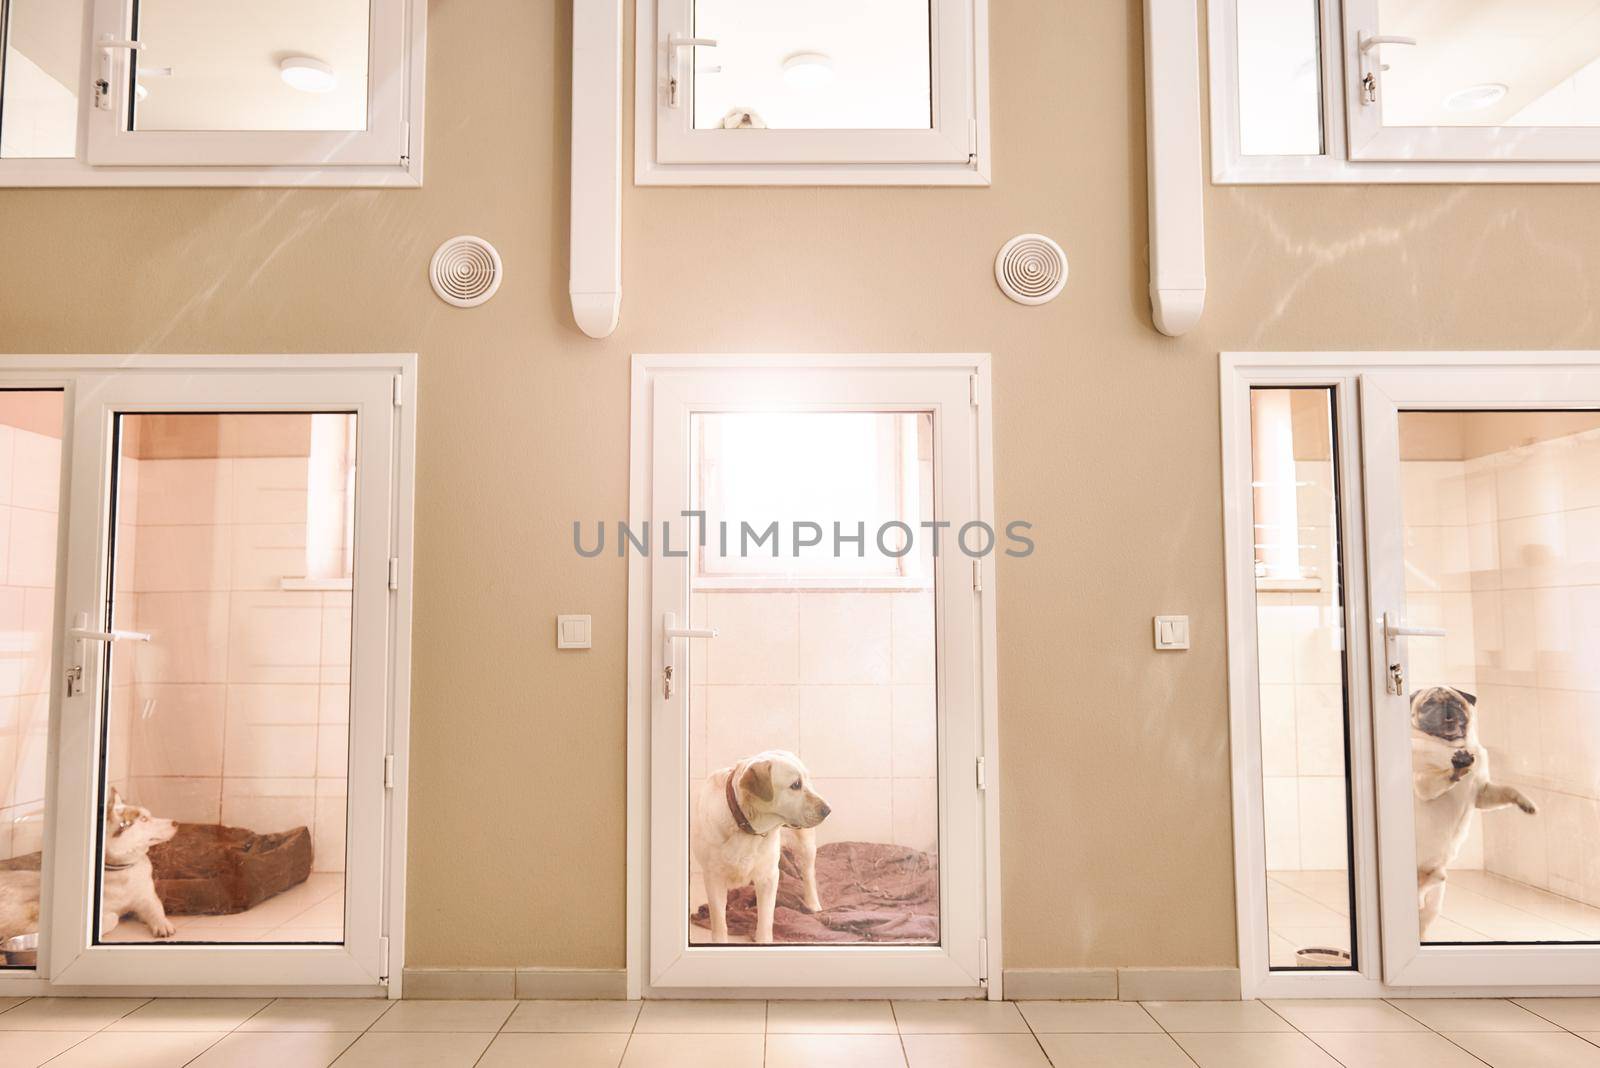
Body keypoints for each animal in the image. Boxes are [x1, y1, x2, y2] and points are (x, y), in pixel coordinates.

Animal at [691, 751, 832, 940]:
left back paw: (813, 904)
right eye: (796, 784)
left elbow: (765, 922)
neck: (745, 825)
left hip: (806, 845)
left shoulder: (767, 877)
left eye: (805, 780)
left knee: (808, 875)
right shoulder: (713, 877)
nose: (828, 810)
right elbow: (719, 923)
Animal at [1414, 687, 1536, 940]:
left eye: (1456, 703)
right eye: (1428, 704)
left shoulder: (1482, 792)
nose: (1447, 712)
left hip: (1434, 902)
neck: (1449, 746)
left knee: (1427, 907)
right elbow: (1442, 776)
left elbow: (1508, 790)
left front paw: (1526, 803)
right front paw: (1456, 767)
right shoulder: (1424, 784)